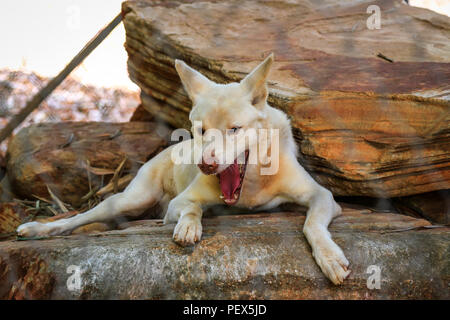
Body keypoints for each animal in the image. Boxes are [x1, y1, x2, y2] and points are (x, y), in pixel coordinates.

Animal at [17, 54, 350, 284]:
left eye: (235, 129)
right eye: (201, 130)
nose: (205, 163)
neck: (252, 184)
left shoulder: (323, 196)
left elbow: (312, 224)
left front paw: (330, 258)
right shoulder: (181, 201)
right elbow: (192, 208)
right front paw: (189, 226)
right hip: (130, 200)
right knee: (80, 217)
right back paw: (37, 229)